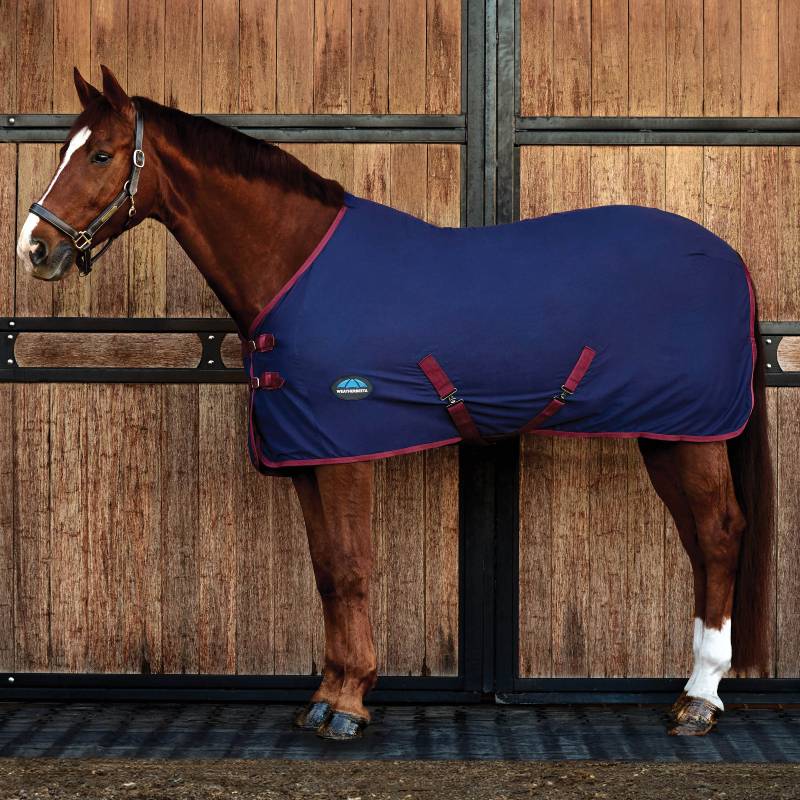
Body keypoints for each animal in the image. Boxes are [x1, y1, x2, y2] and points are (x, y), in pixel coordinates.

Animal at [17, 66, 773, 740]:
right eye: (61, 150)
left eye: (103, 153)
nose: (35, 247)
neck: (295, 264)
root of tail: (732, 257)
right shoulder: (307, 454)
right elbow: (327, 572)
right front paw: (326, 696)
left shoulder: (343, 448)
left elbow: (351, 568)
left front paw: (349, 705)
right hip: (668, 434)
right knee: (699, 541)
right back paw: (691, 690)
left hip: (695, 432)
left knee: (718, 534)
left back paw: (702, 697)